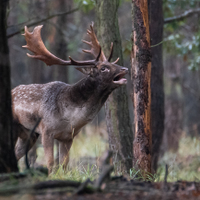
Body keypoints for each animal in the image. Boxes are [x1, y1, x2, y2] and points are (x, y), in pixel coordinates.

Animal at [12, 23, 128, 173]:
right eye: (103, 68)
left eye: (114, 63)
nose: (125, 69)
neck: (70, 118)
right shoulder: (46, 131)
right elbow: (51, 164)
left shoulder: (68, 137)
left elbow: (64, 165)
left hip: (28, 134)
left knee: (16, 154)